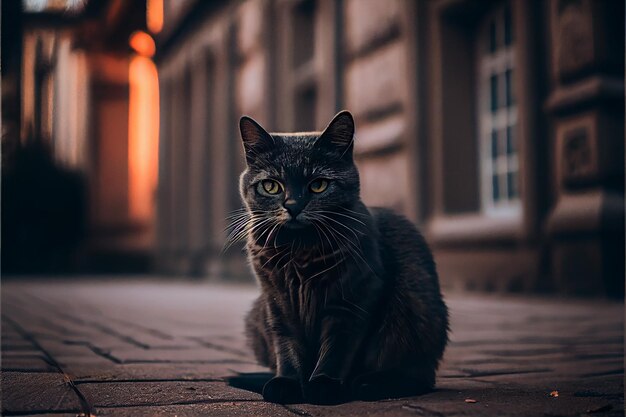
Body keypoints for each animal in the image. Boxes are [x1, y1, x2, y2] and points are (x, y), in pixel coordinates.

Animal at [233, 110, 444, 404]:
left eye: (319, 185)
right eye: (271, 186)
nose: (293, 206)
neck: (300, 252)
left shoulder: (354, 299)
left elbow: (337, 347)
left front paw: (324, 385)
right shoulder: (277, 302)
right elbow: (286, 345)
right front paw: (287, 383)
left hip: (414, 309)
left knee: (418, 375)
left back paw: (369, 383)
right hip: (256, 315)